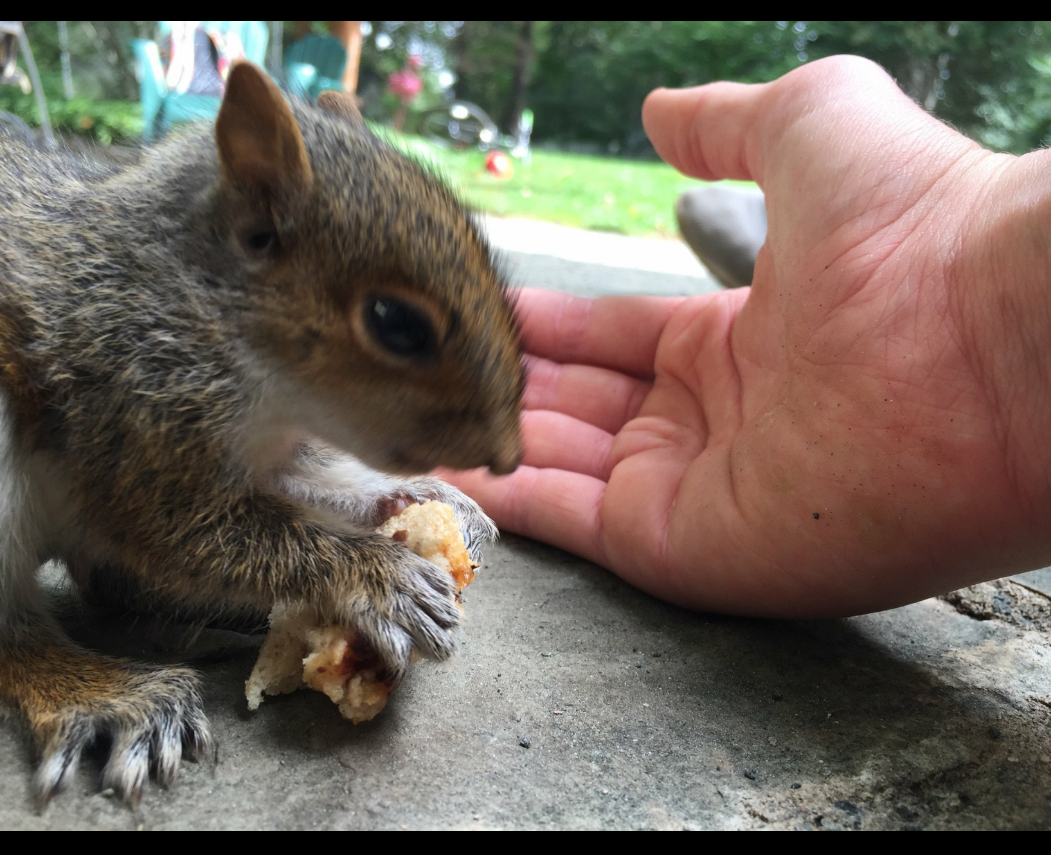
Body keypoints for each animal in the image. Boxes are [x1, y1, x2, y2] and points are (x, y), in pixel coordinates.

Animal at [0, 61, 525, 810]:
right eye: (396, 322)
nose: (509, 457)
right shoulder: (135, 412)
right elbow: (201, 532)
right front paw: (382, 577)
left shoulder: (275, 454)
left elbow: (318, 490)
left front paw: (429, 502)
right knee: (13, 633)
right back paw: (108, 694)